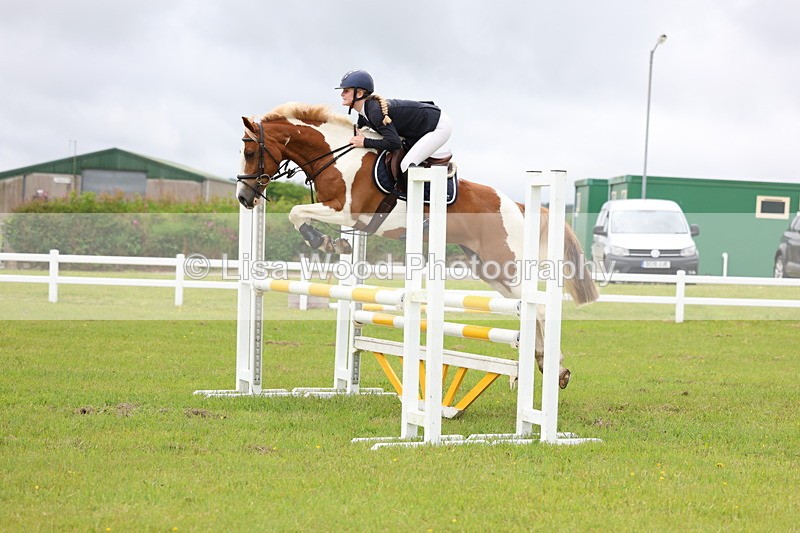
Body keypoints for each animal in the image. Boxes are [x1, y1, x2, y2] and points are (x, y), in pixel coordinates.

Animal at [236, 103, 599, 388]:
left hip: (507, 264)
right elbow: (300, 215)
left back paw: (552, 368)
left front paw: (324, 241)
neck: (337, 159)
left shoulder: (348, 213)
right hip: (489, 269)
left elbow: (297, 212)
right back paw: (544, 365)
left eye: (250, 153)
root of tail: (519, 206)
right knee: (529, 310)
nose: (243, 198)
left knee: (538, 308)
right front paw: (334, 244)